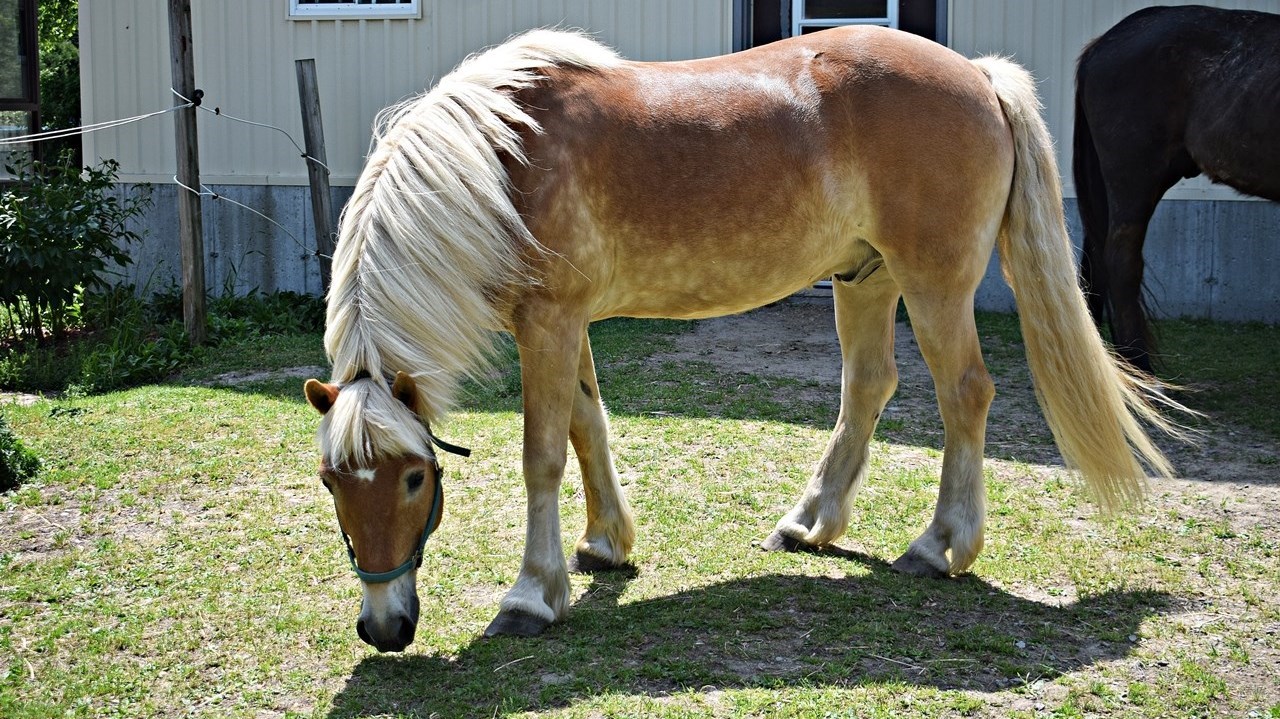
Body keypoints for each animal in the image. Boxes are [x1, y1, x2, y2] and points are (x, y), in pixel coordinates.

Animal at [303, 26, 1181, 652]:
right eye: (330, 480)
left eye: (414, 478)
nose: (384, 626)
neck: (499, 164)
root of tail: (978, 75)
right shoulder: (563, 323)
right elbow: (588, 425)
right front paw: (603, 545)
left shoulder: (547, 322)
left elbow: (542, 452)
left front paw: (529, 594)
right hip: (865, 278)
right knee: (868, 386)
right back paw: (810, 523)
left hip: (932, 283)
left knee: (964, 391)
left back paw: (939, 546)